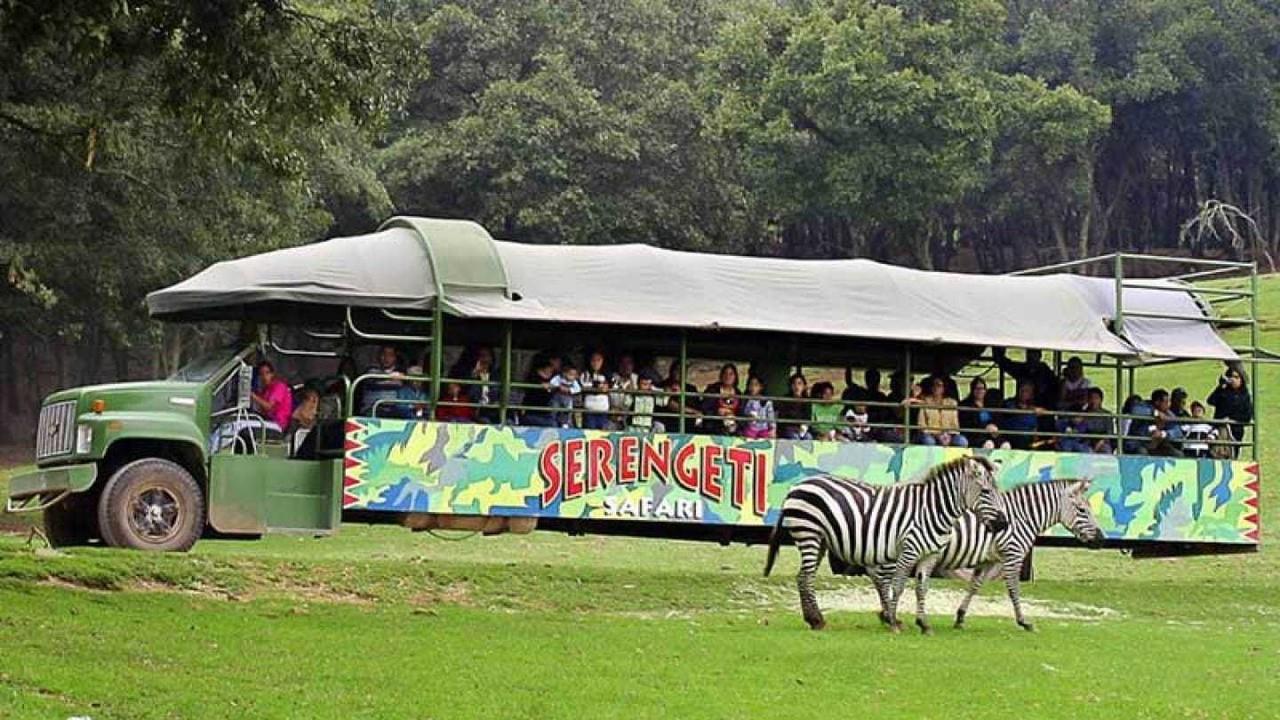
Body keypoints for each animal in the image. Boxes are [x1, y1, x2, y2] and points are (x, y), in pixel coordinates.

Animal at [757, 456, 1008, 630]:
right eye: (986, 492)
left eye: (996, 491)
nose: (1003, 523)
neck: (932, 510)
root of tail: (797, 486)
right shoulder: (908, 550)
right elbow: (897, 585)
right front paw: (894, 622)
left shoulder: (929, 555)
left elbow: (921, 587)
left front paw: (923, 624)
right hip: (808, 532)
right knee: (806, 577)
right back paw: (816, 620)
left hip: (820, 540)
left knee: (803, 576)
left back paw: (814, 619)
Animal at [870, 479, 1100, 630]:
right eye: (1082, 510)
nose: (1100, 538)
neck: (1022, 517)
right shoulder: (1013, 555)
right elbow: (1013, 589)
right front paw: (1023, 621)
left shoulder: (988, 560)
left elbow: (975, 586)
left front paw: (960, 617)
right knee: (883, 579)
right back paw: (889, 615)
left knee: (878, 577)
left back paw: (887, 614)